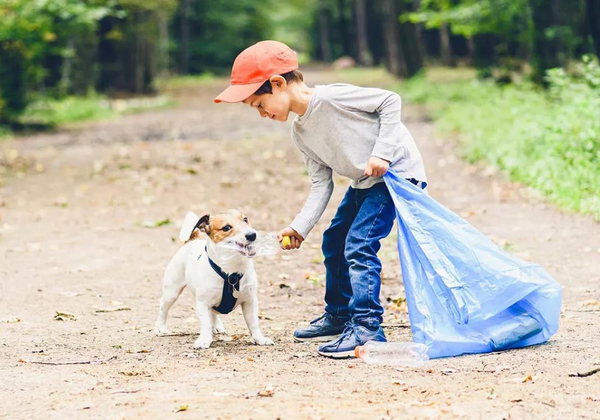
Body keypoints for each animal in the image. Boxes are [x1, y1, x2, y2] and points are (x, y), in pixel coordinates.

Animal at [156, 209, 276, 348]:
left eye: (245, 219)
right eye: (226, 228)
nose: (252, 235)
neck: (231, 273)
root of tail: (191, 241)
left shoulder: (250, 302)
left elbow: (254, 324)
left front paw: (260, 339)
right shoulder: (202, 303)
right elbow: (206, 324)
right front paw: (204, 339)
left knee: (213, 314)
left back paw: (217, 326)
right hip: (172, 292)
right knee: (163, 308)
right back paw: (161, 328)